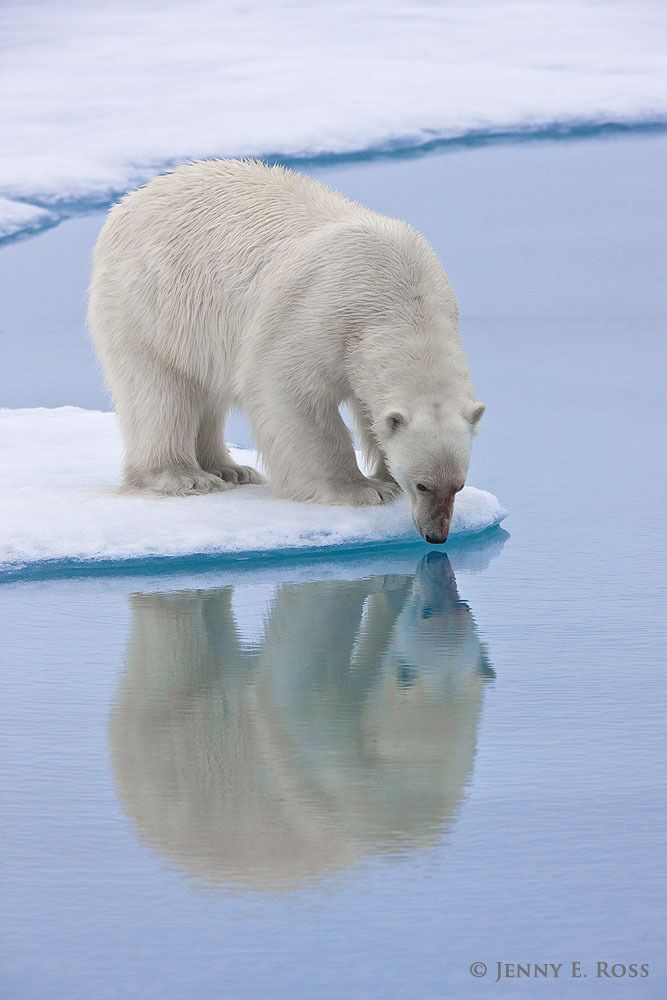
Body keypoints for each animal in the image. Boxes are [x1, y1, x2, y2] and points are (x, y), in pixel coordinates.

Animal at [88, 159, 485, 543]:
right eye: (423, 485)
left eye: (458, 486)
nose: (436, 535)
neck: (401, 296)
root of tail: (135, 197)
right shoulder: (317, 317)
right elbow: (292, 395)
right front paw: (361, 489)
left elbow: (367, 409)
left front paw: (384, 477)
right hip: (150, 303)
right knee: (160, 391)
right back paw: (186, 476)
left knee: (207, 390)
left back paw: (230, 469)